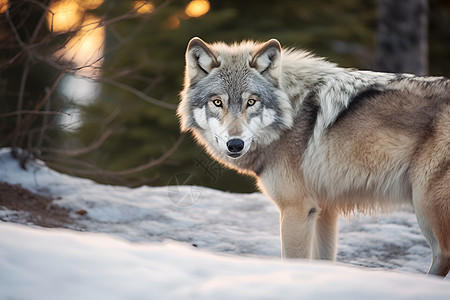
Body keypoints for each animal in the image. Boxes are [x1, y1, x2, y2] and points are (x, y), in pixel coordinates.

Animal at [177, 37, 450, 276]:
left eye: (251, 102)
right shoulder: (325, 210)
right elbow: (323, 262)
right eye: (217, 102)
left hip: (426, 207)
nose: (235, 144)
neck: (291, 114)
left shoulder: (297, 209)